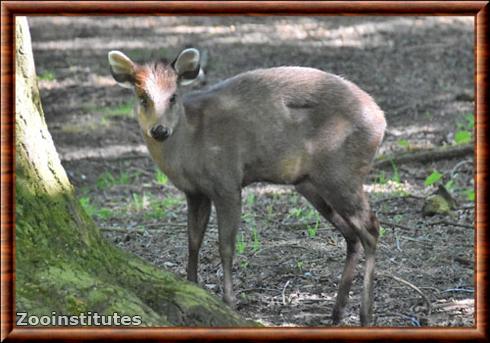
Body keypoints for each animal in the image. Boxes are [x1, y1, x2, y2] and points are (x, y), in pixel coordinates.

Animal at [108, 47, 386, 326]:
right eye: (143, 97)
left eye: (173, 97)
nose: (159, 130)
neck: (190, 148)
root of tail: (380, 119)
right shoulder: (195, 192)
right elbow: (193, 241)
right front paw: (192, 286)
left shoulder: (227, 181)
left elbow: (225, 245)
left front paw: (229, 302)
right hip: (311, 183)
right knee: (352, 235)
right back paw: (337, 312)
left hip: (342, 172)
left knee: (371, 228)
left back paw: (365, 314)